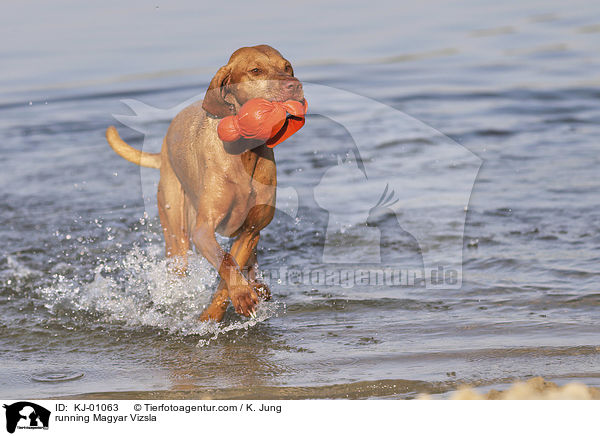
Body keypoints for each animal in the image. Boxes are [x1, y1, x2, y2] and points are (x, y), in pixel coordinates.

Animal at [104, 46, 304, 322]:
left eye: (287, 68)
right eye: (256, 70)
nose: (294, 85)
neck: (243, 153)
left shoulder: (250, 231)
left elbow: (229, 271)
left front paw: (221, 308)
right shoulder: (203, 230)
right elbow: (227, 262)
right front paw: (227, 305)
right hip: (176, 232)